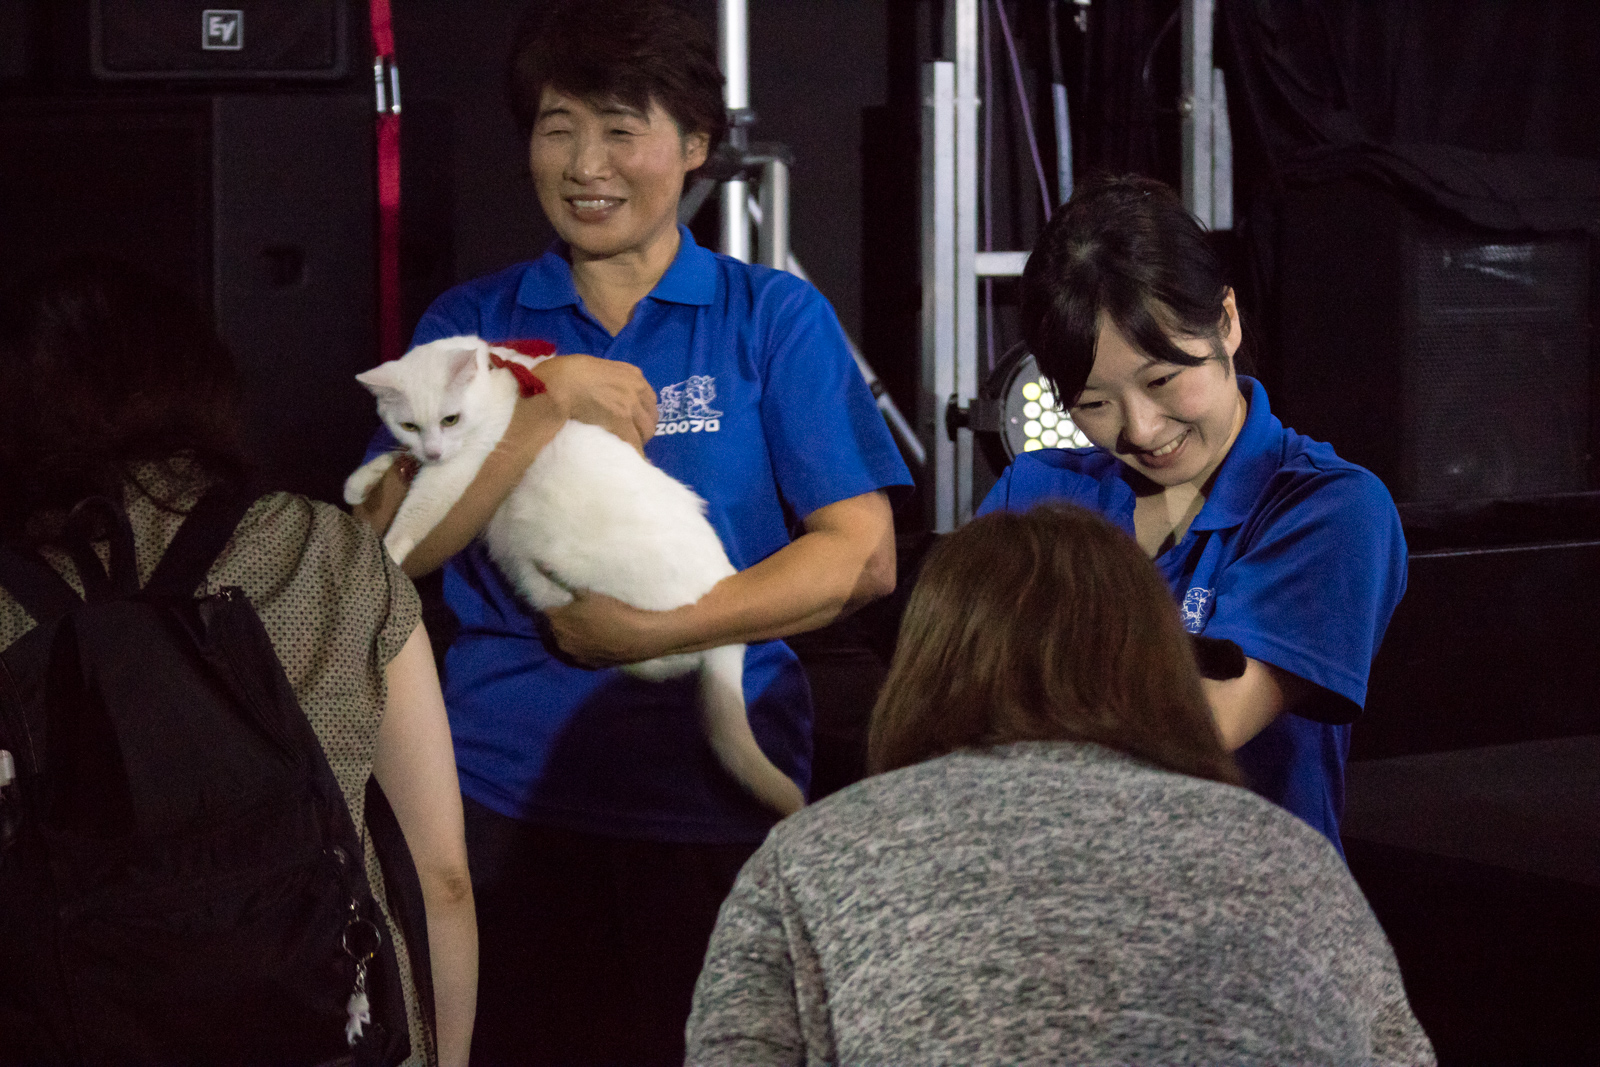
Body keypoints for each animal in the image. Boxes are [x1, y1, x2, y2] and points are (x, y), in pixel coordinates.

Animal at [345, 335, 806, 819]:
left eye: (450, 419)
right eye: (409, 425)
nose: (432, 450)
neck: (504, 377)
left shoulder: (459, 471)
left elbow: (417, 511)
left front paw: (389, 553)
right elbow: (394, 461)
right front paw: (361, 482)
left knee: (670, 656)